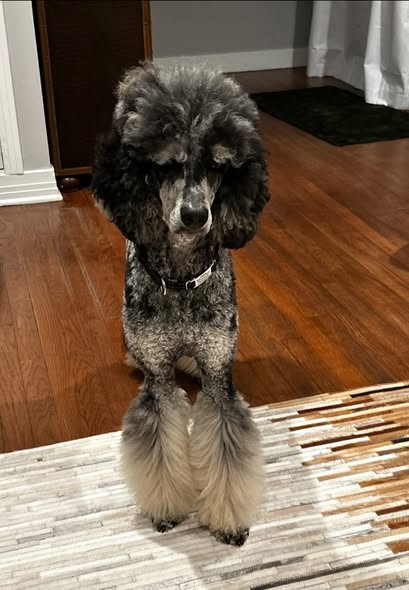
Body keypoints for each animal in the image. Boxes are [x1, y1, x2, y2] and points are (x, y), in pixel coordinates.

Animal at [92, 63, 270, 546]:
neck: (181, 282)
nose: (195, 216)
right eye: (165, 164)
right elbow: (157, 448)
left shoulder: (217, 374)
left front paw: (227, 522)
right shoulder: (157, 377)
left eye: (217, 165)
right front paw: (168, 510)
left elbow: (228, 453)